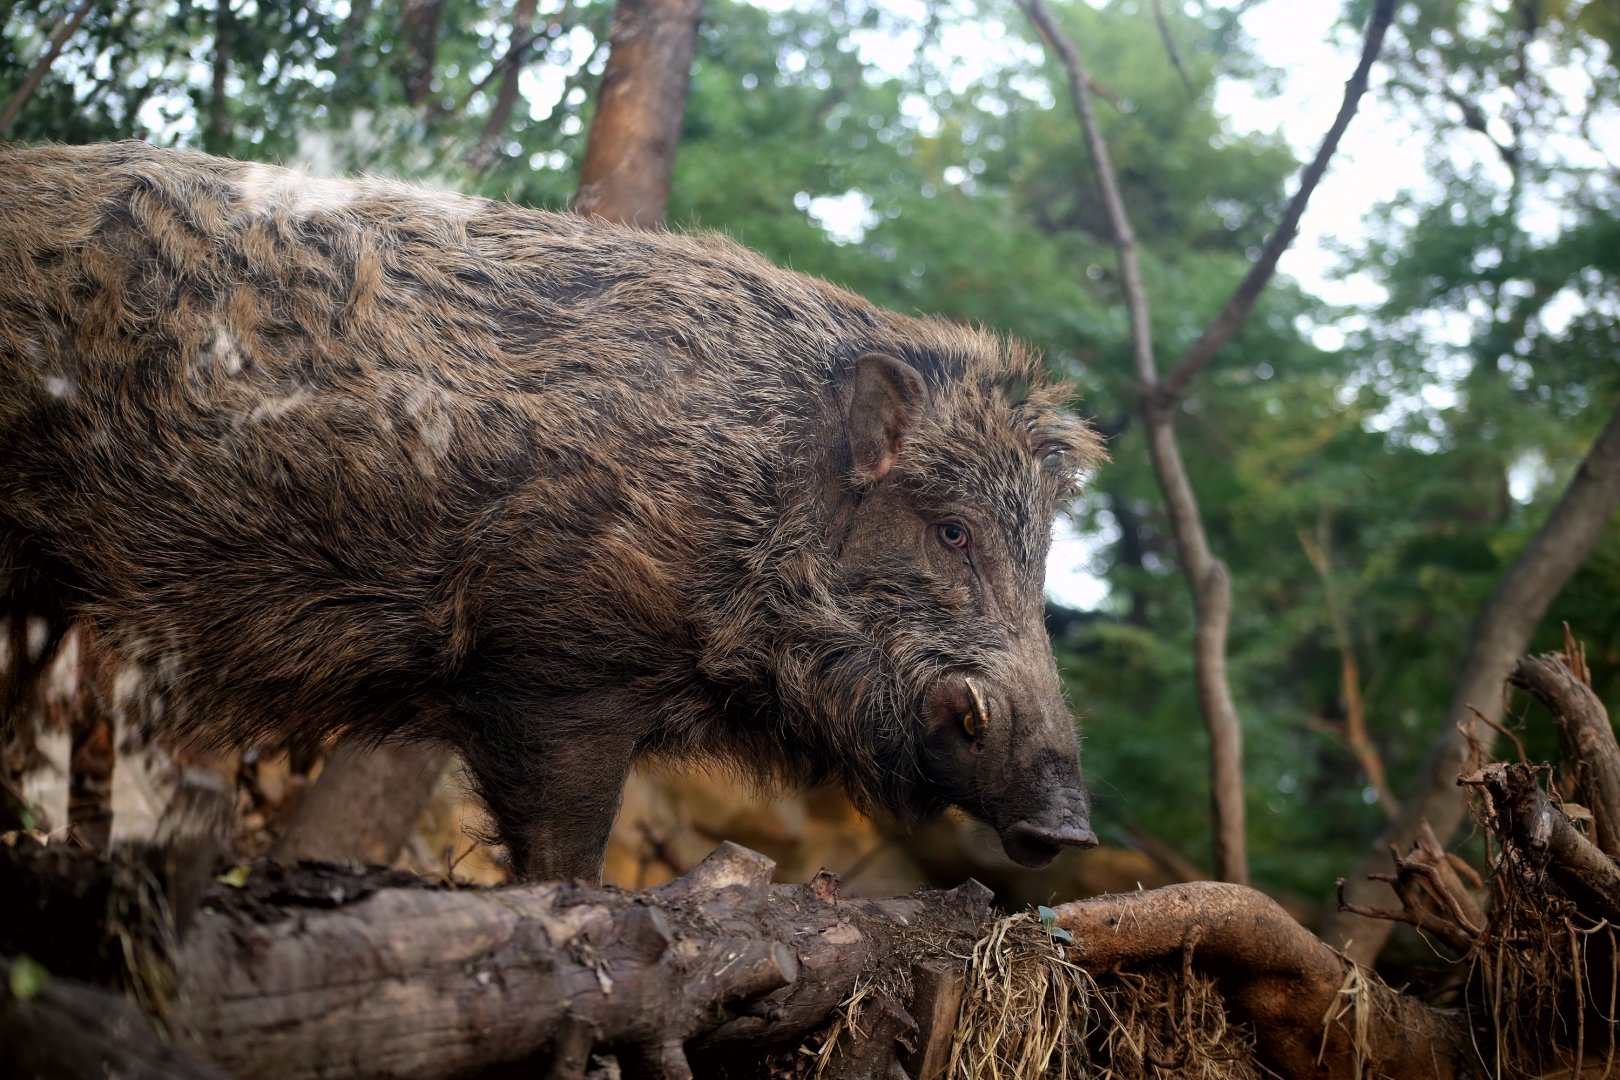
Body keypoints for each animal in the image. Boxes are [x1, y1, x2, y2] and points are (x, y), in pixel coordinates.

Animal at [0, 141, 1103, 881]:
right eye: (952, 531)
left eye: (1042, 557)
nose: (1069, 829)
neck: (743, 491)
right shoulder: (554, 665)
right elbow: (566, 848)